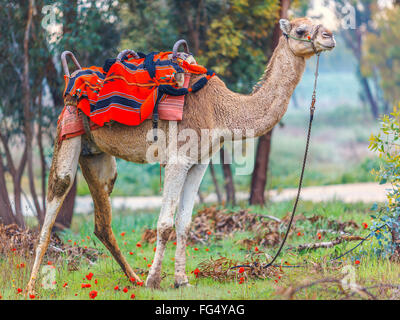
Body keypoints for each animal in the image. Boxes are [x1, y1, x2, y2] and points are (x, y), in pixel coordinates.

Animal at [25, 16, 334, 292]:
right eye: (301, 29)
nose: (329, 36)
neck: (221, 110)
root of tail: (73, 76)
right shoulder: (177, 159)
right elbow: (164, 224)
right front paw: (154, 281)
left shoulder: (199, 163)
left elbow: (185, 223)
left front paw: (181, 280)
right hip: (68, 131)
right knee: (57, 195)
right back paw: (32, 286)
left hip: (96, 154)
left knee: (103, 219)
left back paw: (133, 279)